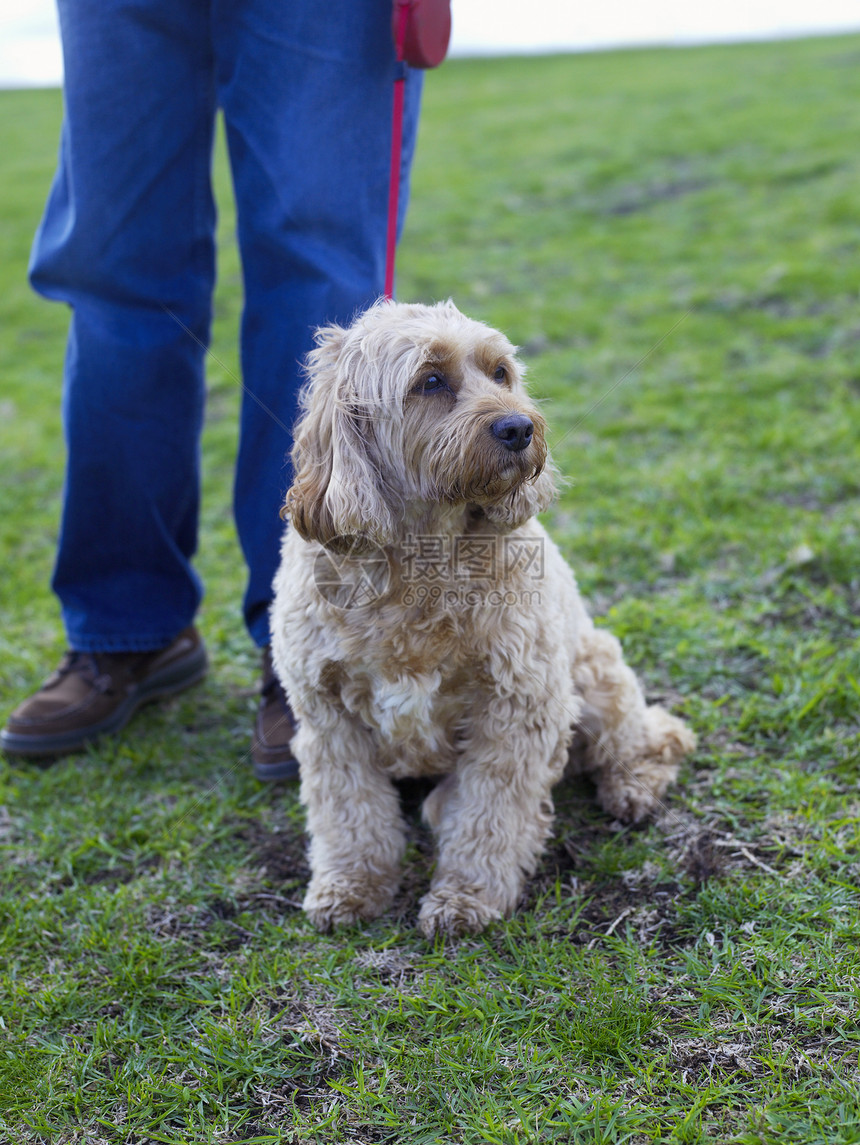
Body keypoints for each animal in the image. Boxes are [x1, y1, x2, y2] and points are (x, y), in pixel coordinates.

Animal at [272, 299, 696, 934]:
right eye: (430, 381)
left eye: (501, 373)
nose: (520, 428)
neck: (423, 557)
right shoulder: (328, 718)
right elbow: (349, 813)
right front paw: (350, 886)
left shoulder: (520, 706)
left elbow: (490, 814)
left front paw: (465, 898)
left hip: (593, 674)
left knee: (649, 737)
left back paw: (633, 787)